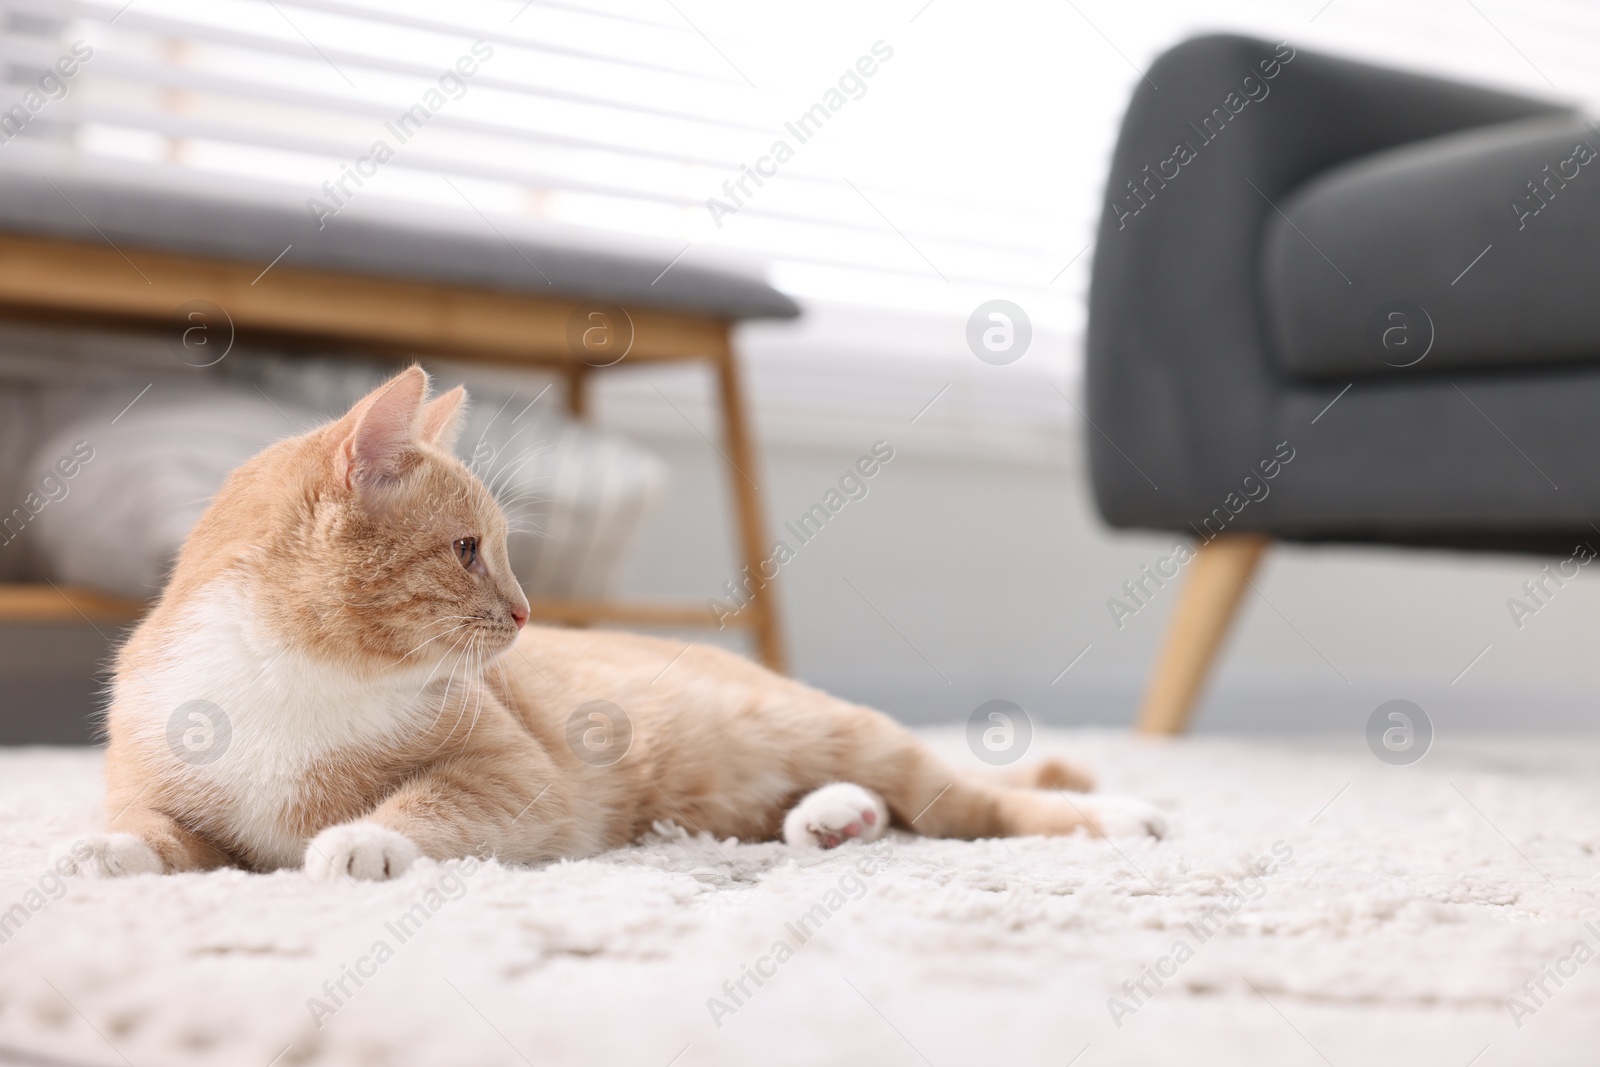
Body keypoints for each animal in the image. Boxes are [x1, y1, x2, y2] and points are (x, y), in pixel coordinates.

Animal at [56, 371, 1164, 883]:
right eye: (469, 549)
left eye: (502, 549)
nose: (526, 610)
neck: (290, 676)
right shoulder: (164, 780)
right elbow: (159, 829)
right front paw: (103, 850)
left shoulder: (509, 770)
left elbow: (428, 803)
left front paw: (364, 838)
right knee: (865, 805)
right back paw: (832, 820)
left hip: (831, 727)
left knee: (966, 800)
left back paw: (1114, 817)